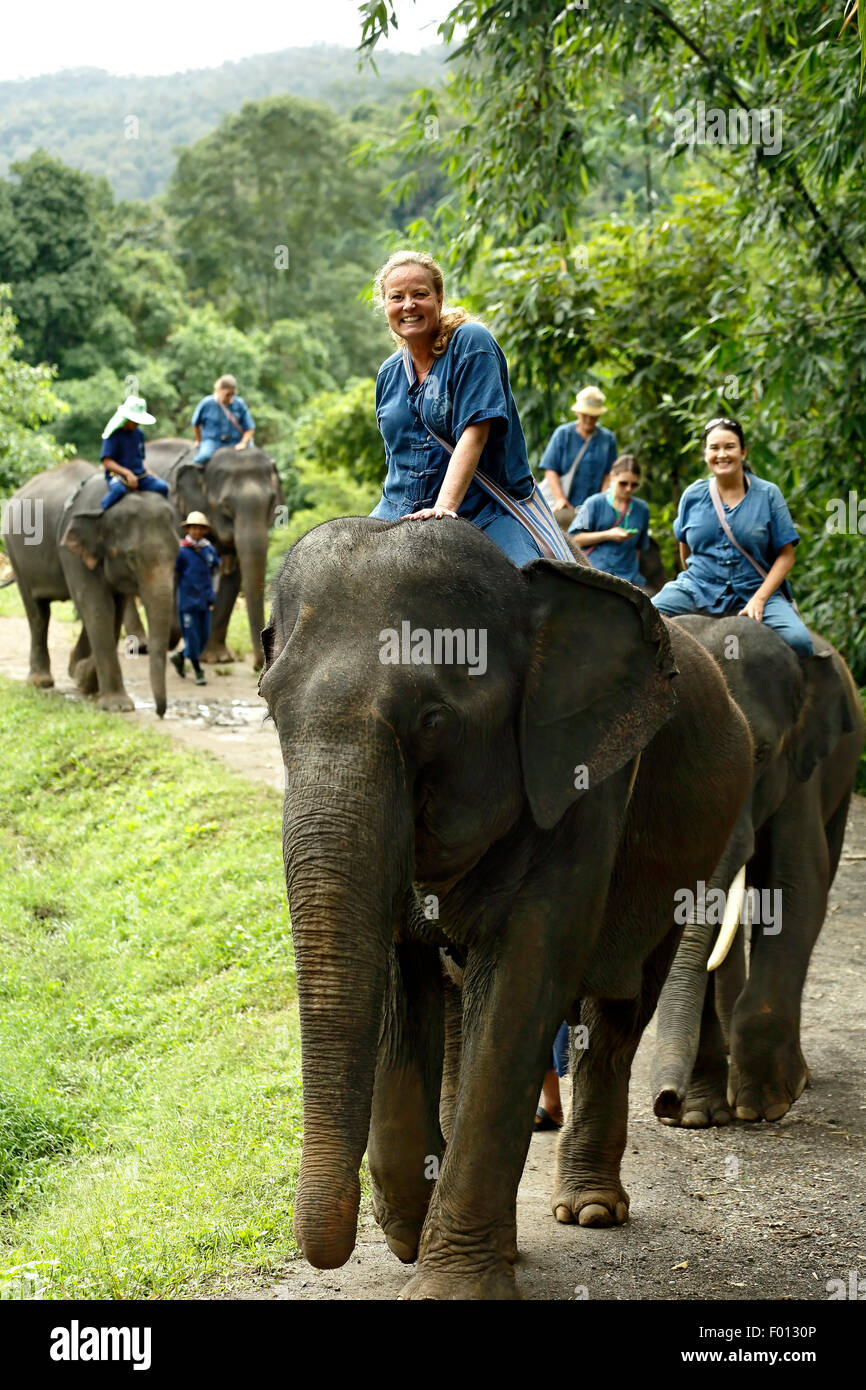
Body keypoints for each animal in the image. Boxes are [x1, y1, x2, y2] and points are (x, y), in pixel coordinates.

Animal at [2, 459, 180, 716]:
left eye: (177, 552)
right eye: (131, 557)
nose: (160, 712)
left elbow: (112, 610)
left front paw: (81, 676)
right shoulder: (69, 549)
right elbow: (97, 606)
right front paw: (118, 706)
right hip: (14, 553)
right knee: (38, 613)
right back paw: (40, 682)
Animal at [146, 438, 284, 670]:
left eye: (272, 502)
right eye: (226, 506)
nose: (258, 665)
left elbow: (233, 574)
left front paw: (217, 658)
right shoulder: (176, 510)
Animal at [258, 515, 753, 1300]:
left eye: (433, 719)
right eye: (270, 705)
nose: (332, 1249)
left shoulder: (582, 789)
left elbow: (525, 977)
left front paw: (446, 1286)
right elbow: (399, 971)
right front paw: (407, 1231)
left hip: (688, 857)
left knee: (620, 1009)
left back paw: (588, 1210)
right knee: (463, 1004)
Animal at [652, 616, 864, 1128]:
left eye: (761, 752)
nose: (665, 1100)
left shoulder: (799, 774)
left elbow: (796, 891)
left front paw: (763, 1105)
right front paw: (697, 1116)